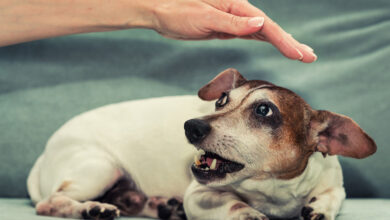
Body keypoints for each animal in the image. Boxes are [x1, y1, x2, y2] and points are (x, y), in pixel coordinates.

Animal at [26, 68, 374, 219]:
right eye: (221, 100)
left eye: (264, 110)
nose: (191, 126)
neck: (272, 190)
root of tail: (42, 157)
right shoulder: (201, 195)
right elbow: (234, 204)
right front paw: (248, 213)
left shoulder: (334, 185)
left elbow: (332, 197)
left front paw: (318, 208)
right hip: (99, 168)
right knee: (51, 201)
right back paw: (92, 208)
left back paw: (159, 205)